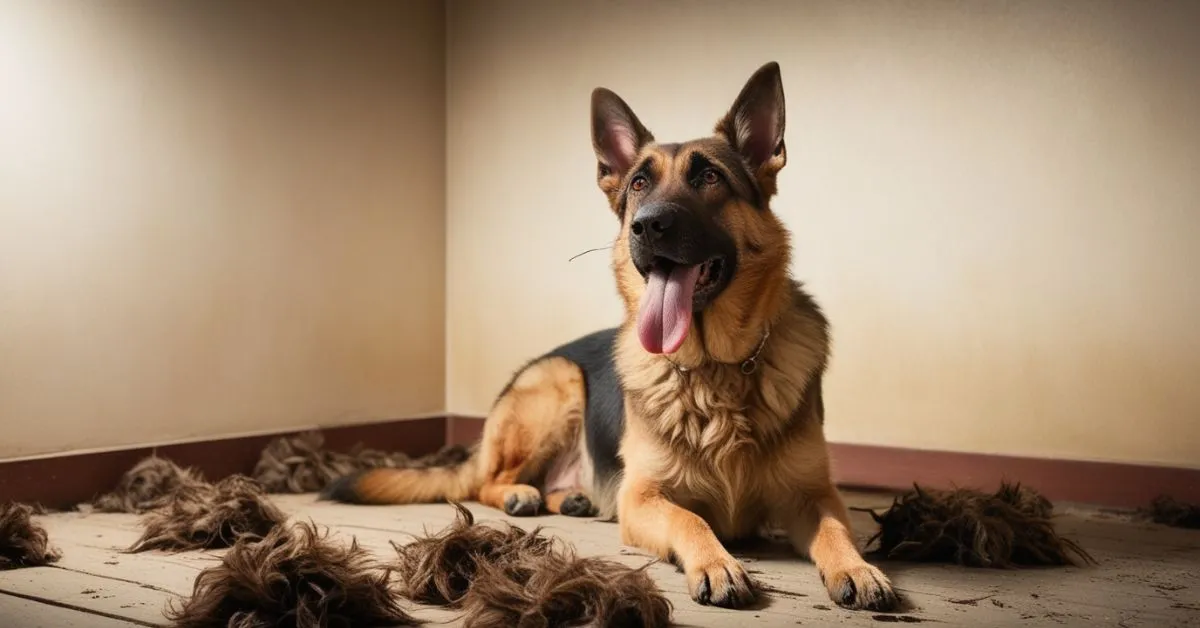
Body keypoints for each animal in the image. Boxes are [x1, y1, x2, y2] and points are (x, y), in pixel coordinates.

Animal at [324, 61, 897, 612]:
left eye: (710, 177)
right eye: (639, 184)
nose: (647, 225)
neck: (715, 371)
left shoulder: (813, 496)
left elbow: (835, 530)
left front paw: (857, 569)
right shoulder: (642, 499)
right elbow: (692, 519)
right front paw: (716, 564)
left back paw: (569, 497)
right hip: (557, 385)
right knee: (484, 482)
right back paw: (520, 493)